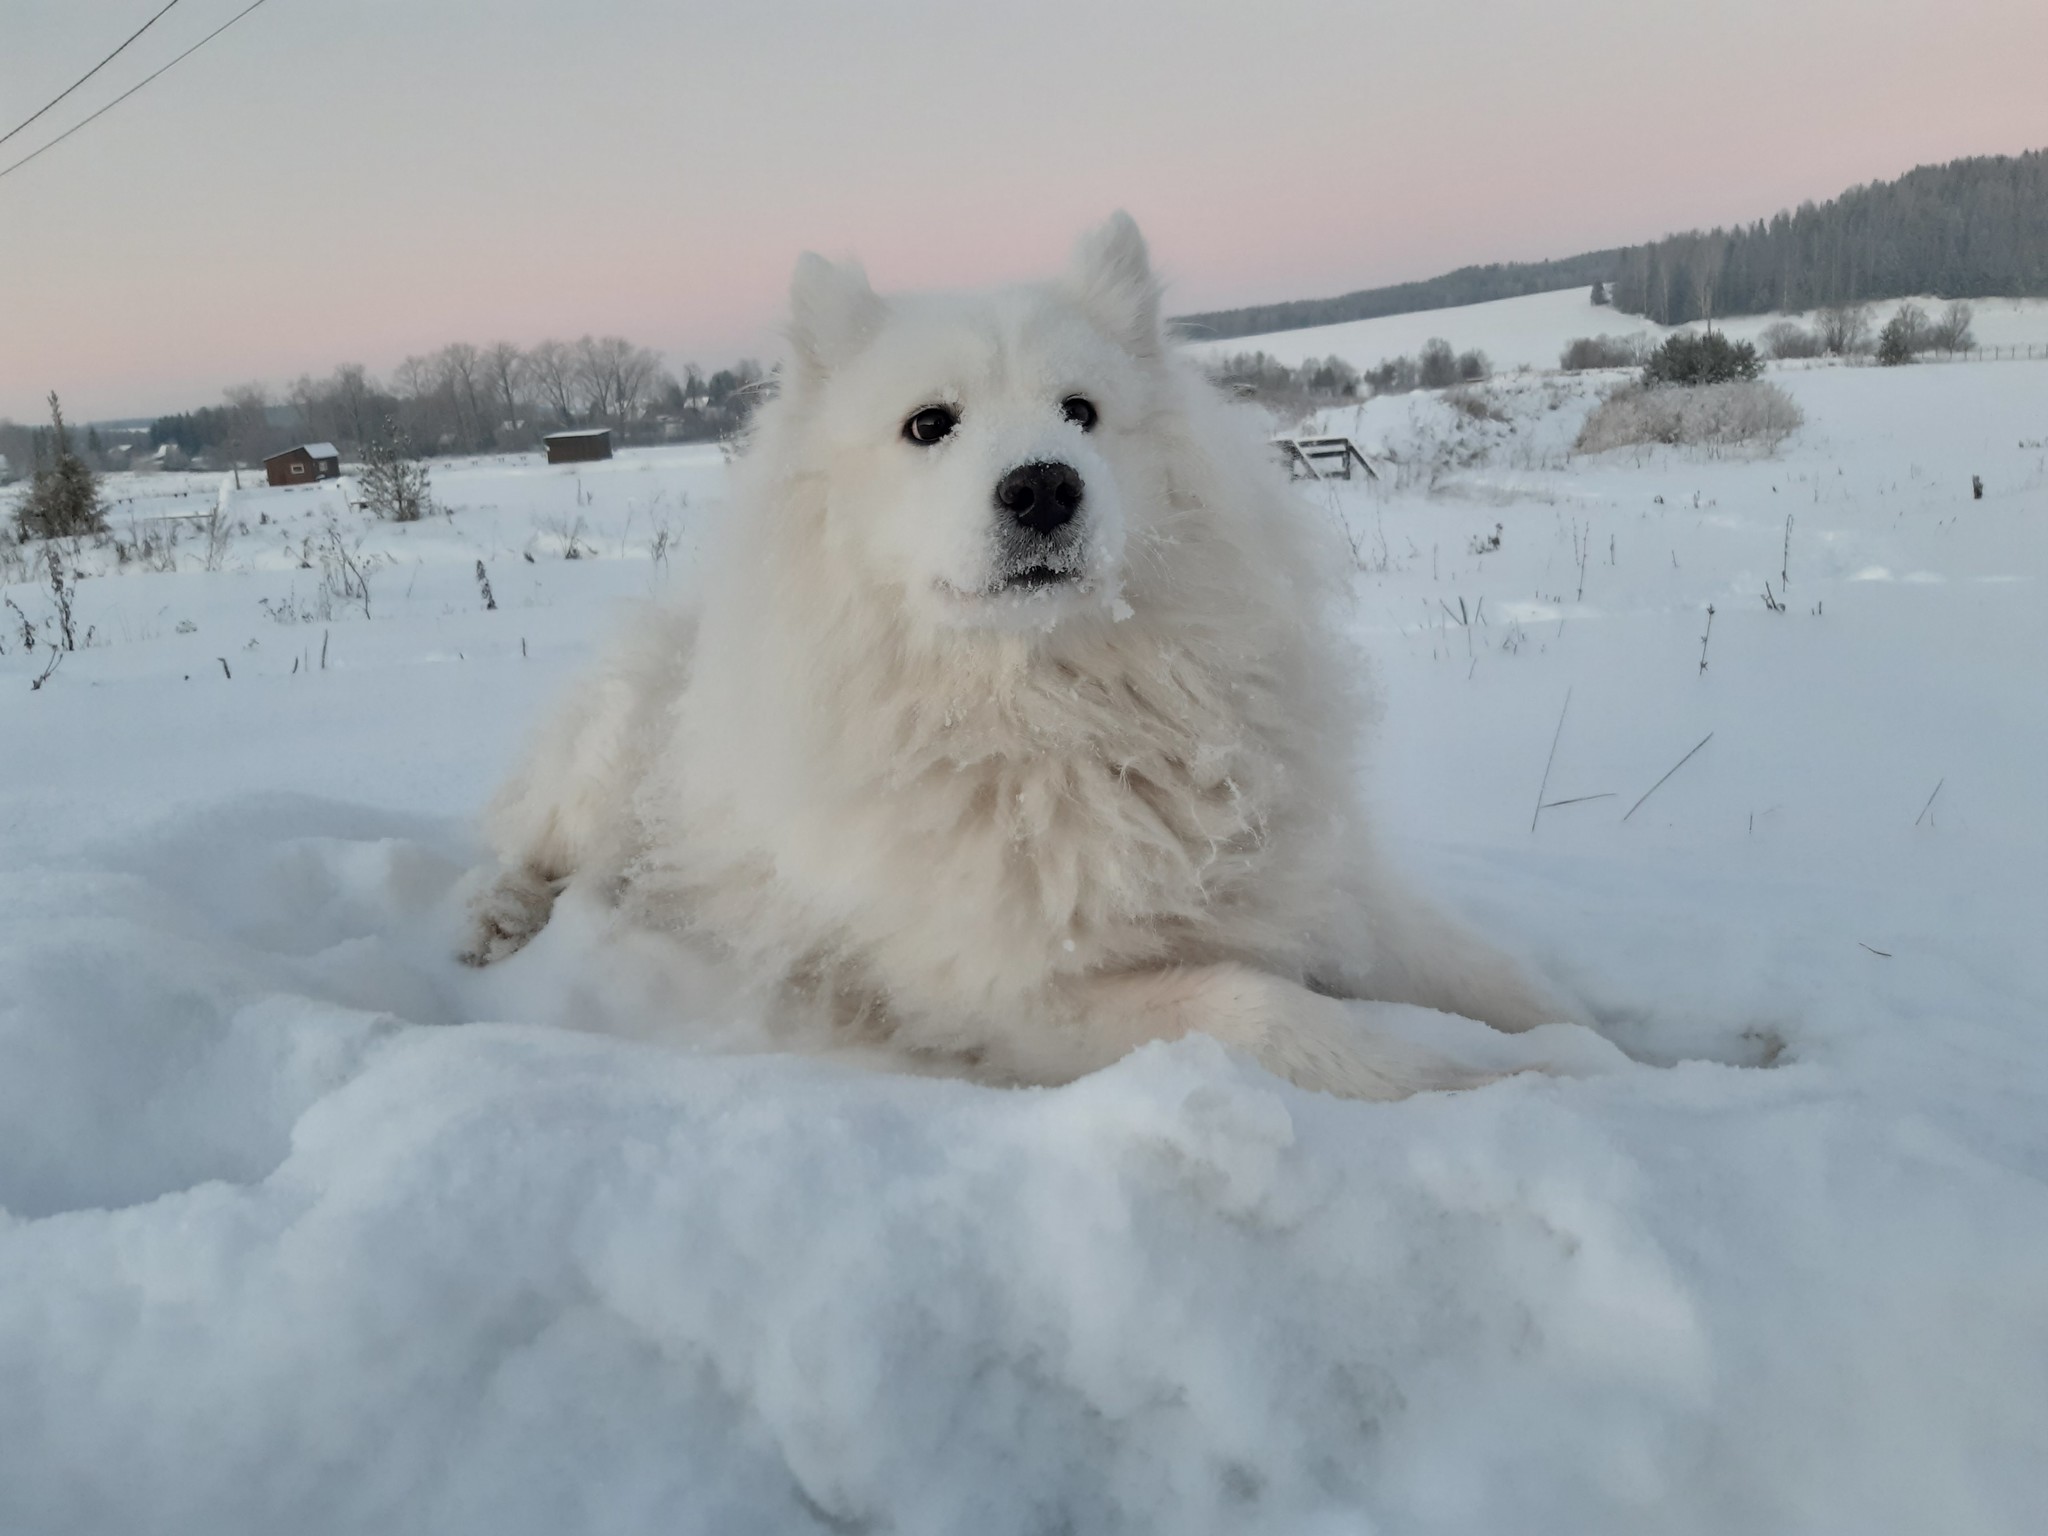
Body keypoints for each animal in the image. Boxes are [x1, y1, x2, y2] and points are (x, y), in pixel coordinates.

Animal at [468, 219, 1564, 1105]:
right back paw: (496, 921)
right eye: (929, 424)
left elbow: (1493, 972)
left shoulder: (1319, 887)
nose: (1043, 488)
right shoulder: (1012, 997)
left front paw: (1586, 1043)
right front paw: (1493, 1083)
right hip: (607, 760)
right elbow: (1263, 1010)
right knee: (526, 848)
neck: (1058, 709)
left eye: (1079, 410)